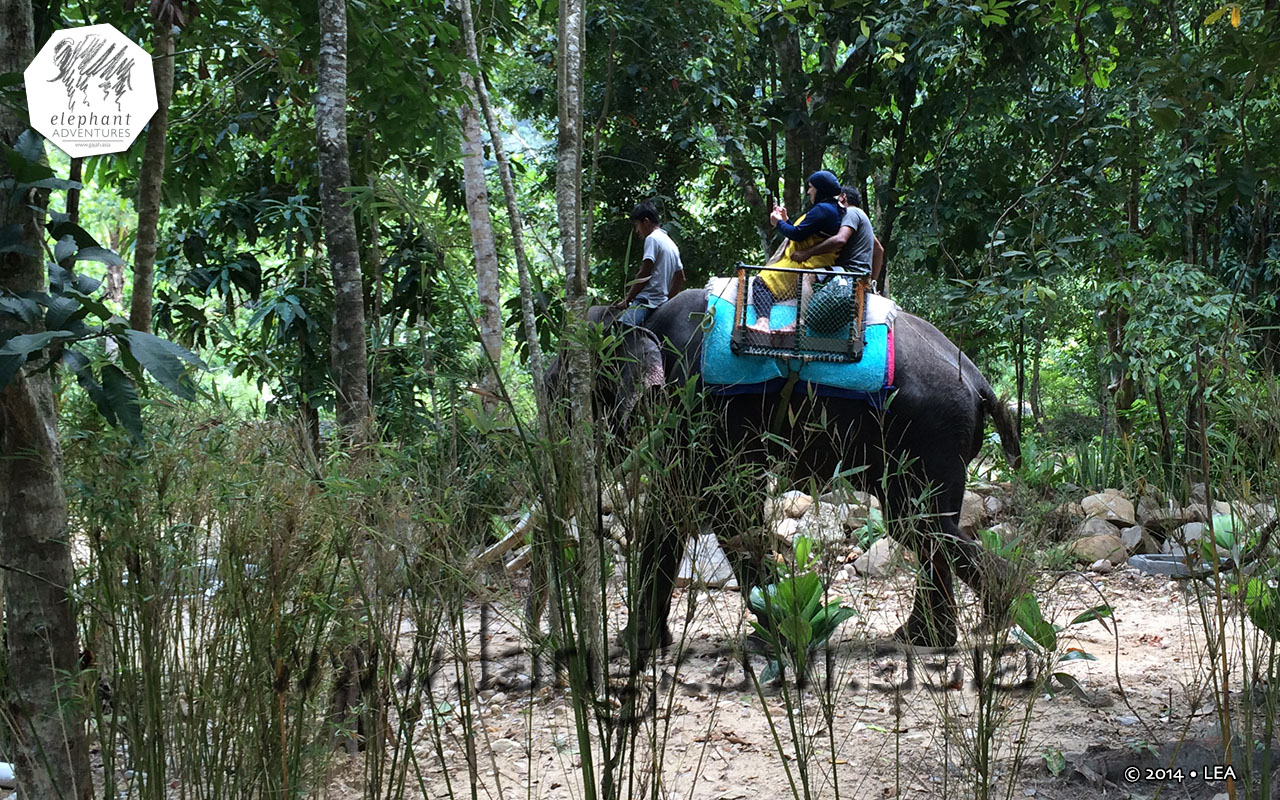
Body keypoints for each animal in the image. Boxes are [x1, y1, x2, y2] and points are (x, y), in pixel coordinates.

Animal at [559, 287, 1023, 653]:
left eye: (560, 388)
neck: (640, 318)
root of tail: (981, 382)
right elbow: (685, 510)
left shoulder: (704, 404)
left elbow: (720, 507)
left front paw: (781, 635)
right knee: (922, 526)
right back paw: (940, 631)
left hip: (931, 432)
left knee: (919, 523)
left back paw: (984, 615)